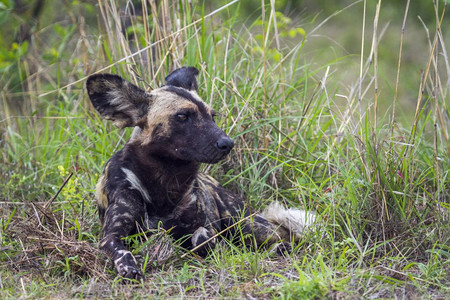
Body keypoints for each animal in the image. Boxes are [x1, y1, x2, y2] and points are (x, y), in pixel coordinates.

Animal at [86, 67, 318, 280]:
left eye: (212, 116)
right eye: (182, 116)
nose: (228, 143)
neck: (164, 180)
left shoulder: (204, 226)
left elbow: (202, 238)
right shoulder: (112, 234)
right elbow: (121, 250)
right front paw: (129, 267)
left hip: (244, 223)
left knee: (282, 235)